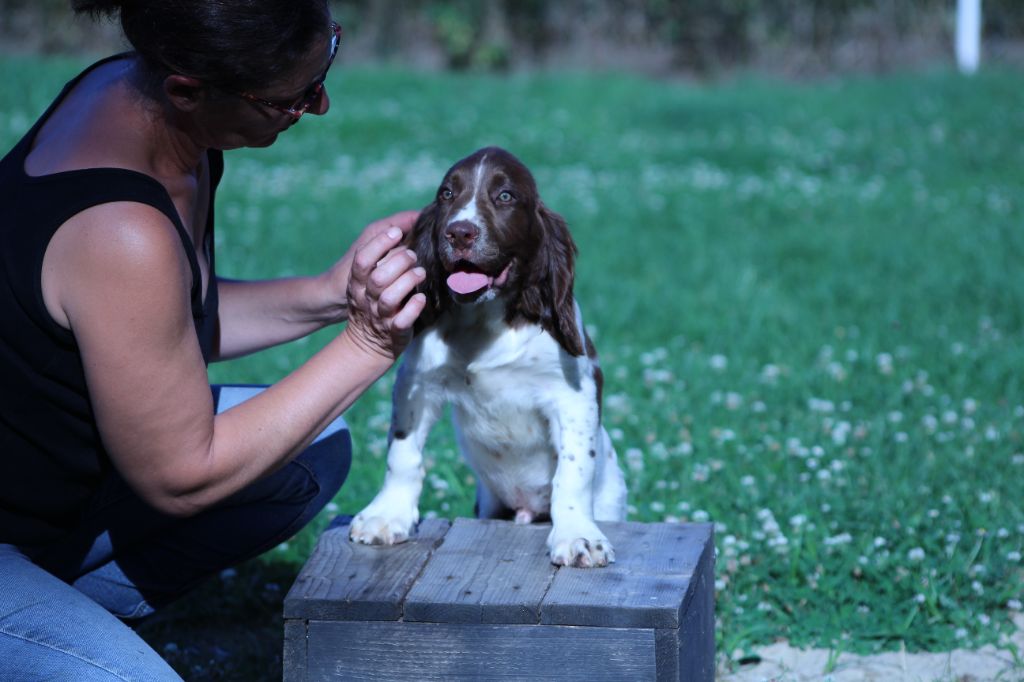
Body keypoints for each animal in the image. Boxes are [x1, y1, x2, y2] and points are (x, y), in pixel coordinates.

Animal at [348, 146, 626, 565]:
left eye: (505, 196)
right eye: (447, 194)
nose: (459, 232)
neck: (486, 318)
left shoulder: (573, 394)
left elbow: (573, 471)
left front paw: (578, 536)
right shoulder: (417, 382)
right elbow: (403, 452)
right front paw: (385, 516)